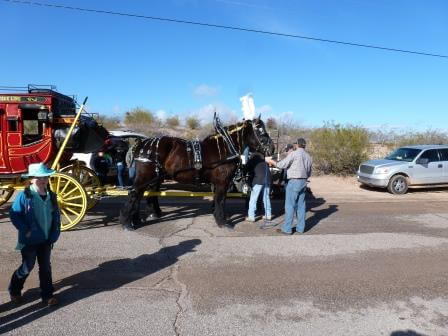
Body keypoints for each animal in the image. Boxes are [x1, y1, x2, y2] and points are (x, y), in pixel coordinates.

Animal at [117, 116, 274, 231]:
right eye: (260, 131)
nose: (271, 148)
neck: (225, 147)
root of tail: (142, 143)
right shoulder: (222, 182)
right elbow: (221, 200)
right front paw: (222, 221)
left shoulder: (217, 183)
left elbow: (217, 200)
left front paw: (218, 216)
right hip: (145, 176)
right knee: (134, 194)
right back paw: (127, 222)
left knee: (142, 195)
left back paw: (139, 218)